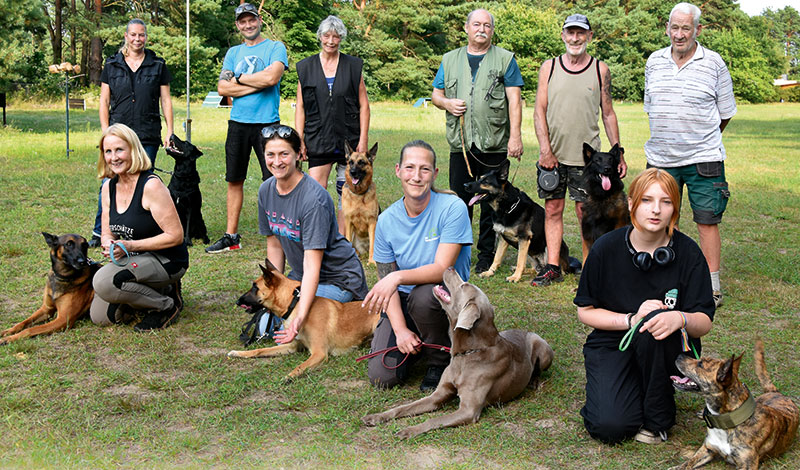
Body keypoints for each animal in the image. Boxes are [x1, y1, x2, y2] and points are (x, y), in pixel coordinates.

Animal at [227, 258, 380, 380]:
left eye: (255, 287)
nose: (237, 301)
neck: (295, 305)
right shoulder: (291, 346)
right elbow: (260, 350)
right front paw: (238, 353)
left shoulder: (319, 353)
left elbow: (300, 366)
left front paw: (288, 377)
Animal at [364, 266, 556, 438]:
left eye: (464, 285)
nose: (450, 267)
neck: (467, 353)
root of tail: (527, 331)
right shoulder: (438, 394)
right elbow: (404, 407)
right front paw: (377, 416)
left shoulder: (468, 410)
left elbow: (433, 420)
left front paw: (409, 430)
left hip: (542, 347)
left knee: (539, 368)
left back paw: (534, 381)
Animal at [672, 340, 796, 468]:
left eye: (700, 364)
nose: (679, 355)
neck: (725, 420)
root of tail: (777, 393)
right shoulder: (707, 449)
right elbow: (686, 464)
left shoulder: (747, 465)